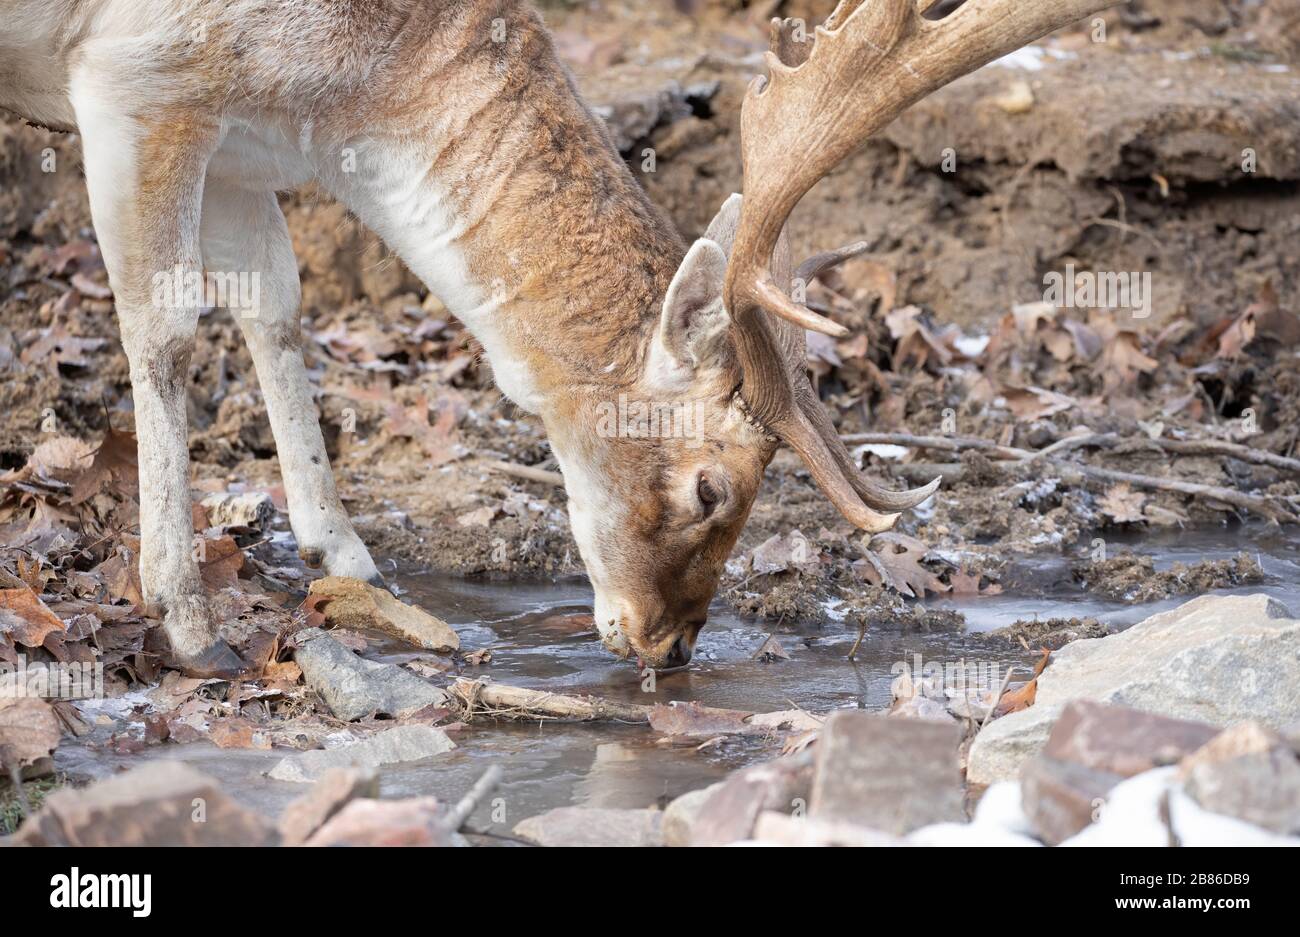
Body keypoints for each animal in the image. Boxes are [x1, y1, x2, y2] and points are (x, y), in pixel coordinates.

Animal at [2, 0, 1118, 670]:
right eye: (711, 489)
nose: (670, 647)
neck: (347, 97)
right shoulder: (140, 79)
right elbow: (164, 328)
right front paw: (186, 615)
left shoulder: (239, 139)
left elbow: (274, 305)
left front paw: (347, 555)